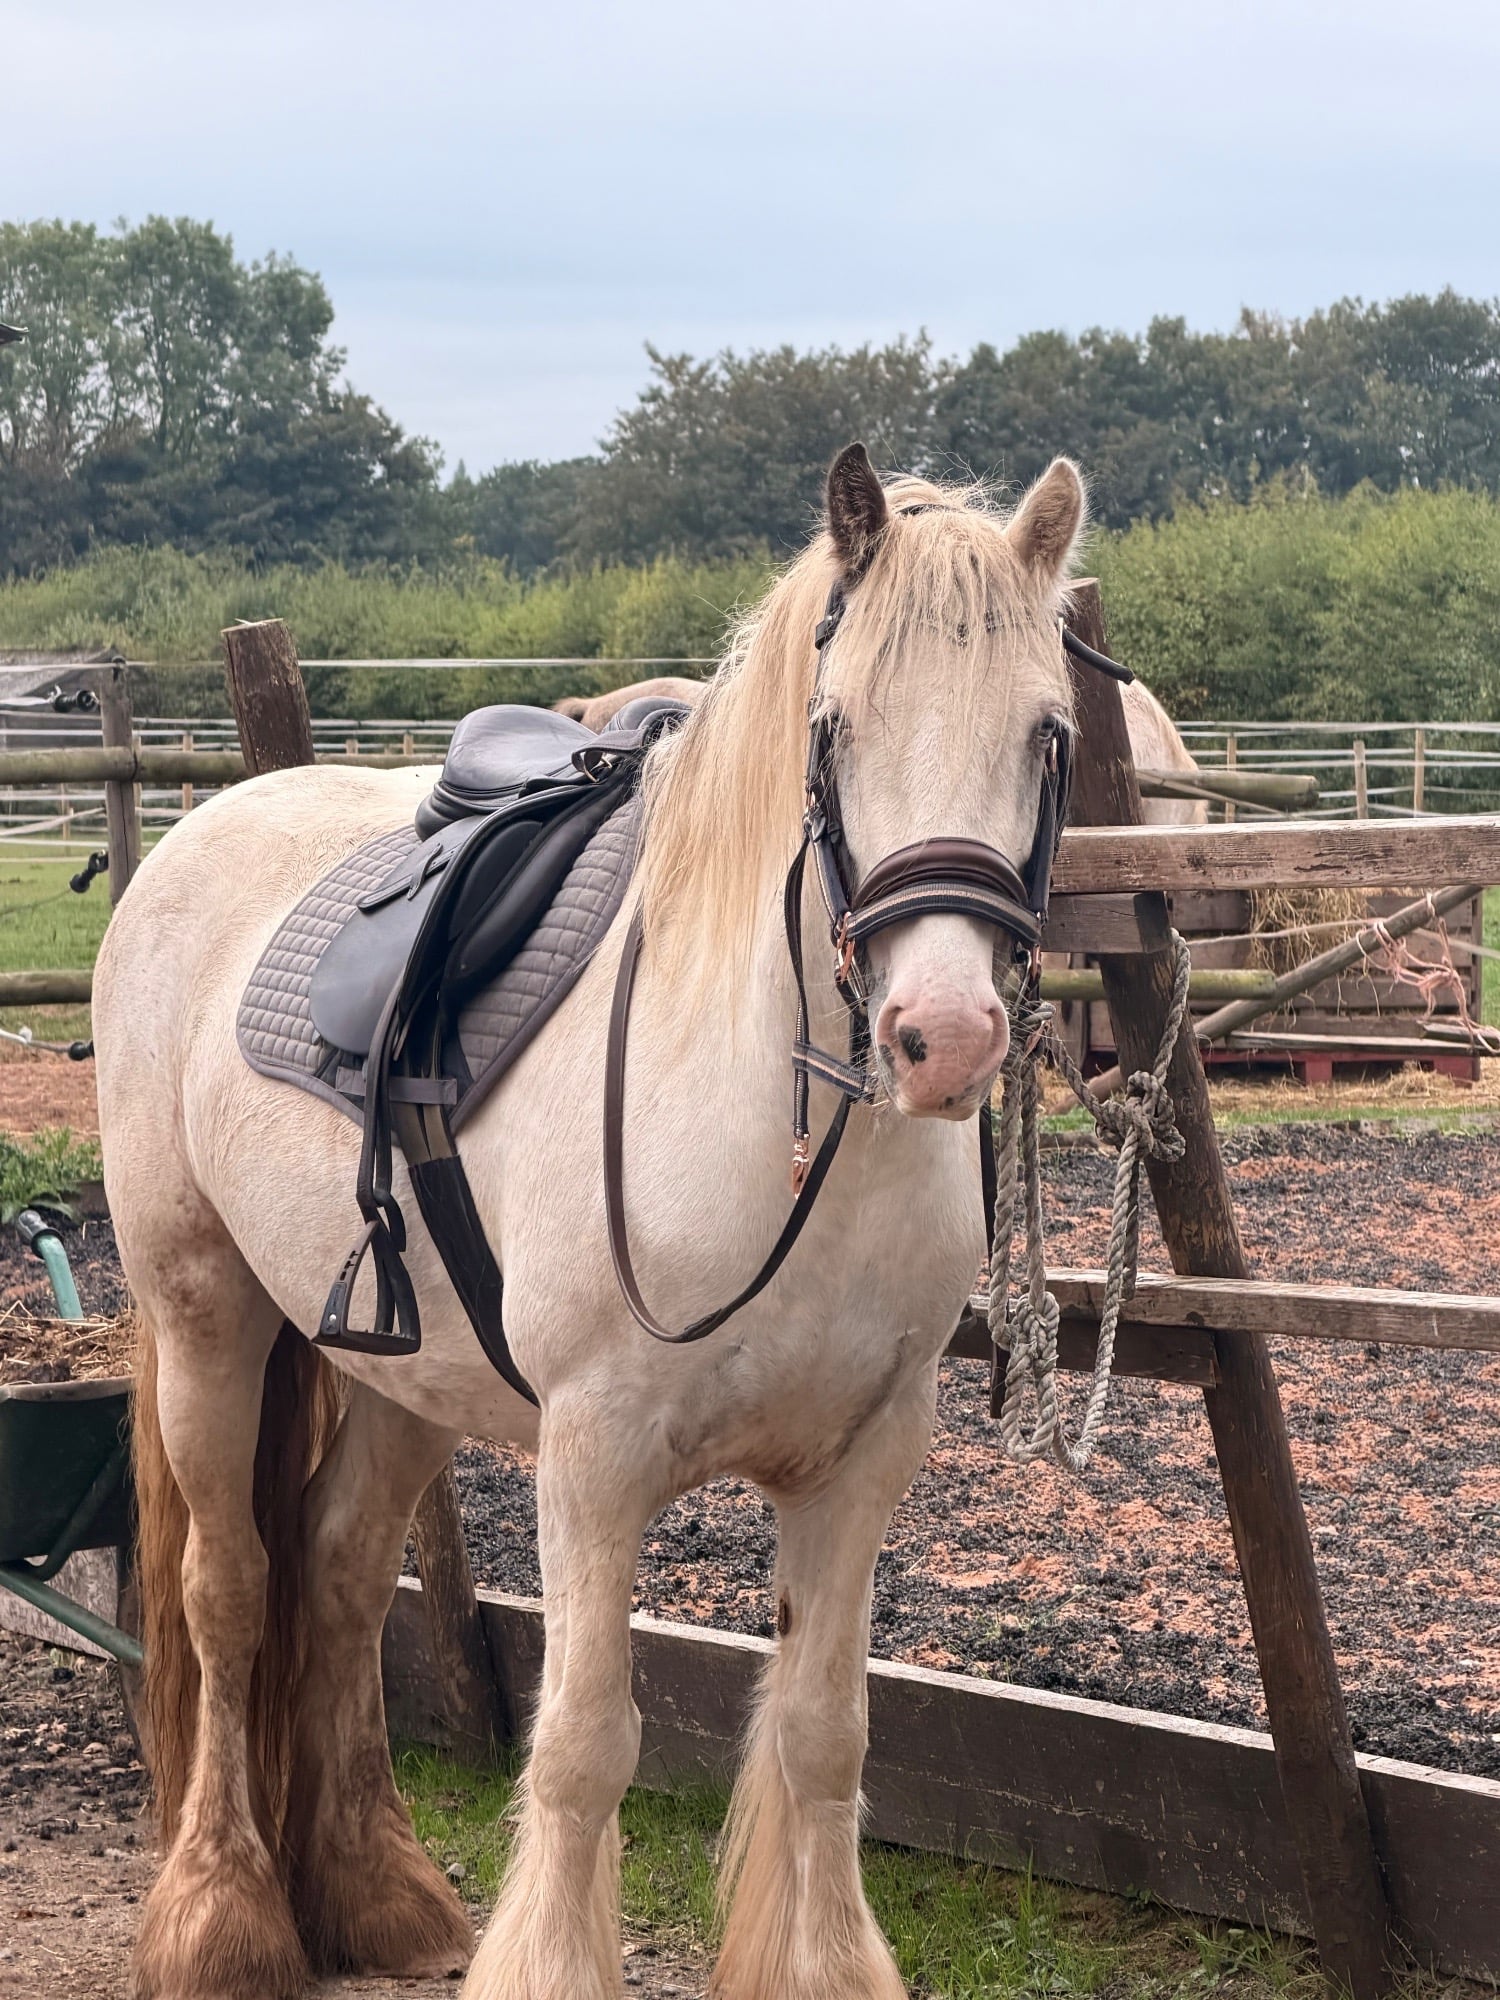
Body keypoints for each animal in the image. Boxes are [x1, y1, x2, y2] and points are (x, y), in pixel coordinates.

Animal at [95, 446, 1087, 2000]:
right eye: (835, 728)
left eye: (1046, 733)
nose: (944, 1036)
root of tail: (201, 829)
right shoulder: (595, 1457)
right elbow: (580, 1749)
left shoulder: (862, 1462)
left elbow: (825, 1734)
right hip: (206, 1319)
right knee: (229, 1585)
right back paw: (222, 1917)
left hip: (404, 1380)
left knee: (336, 1573)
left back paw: (376, 1894)